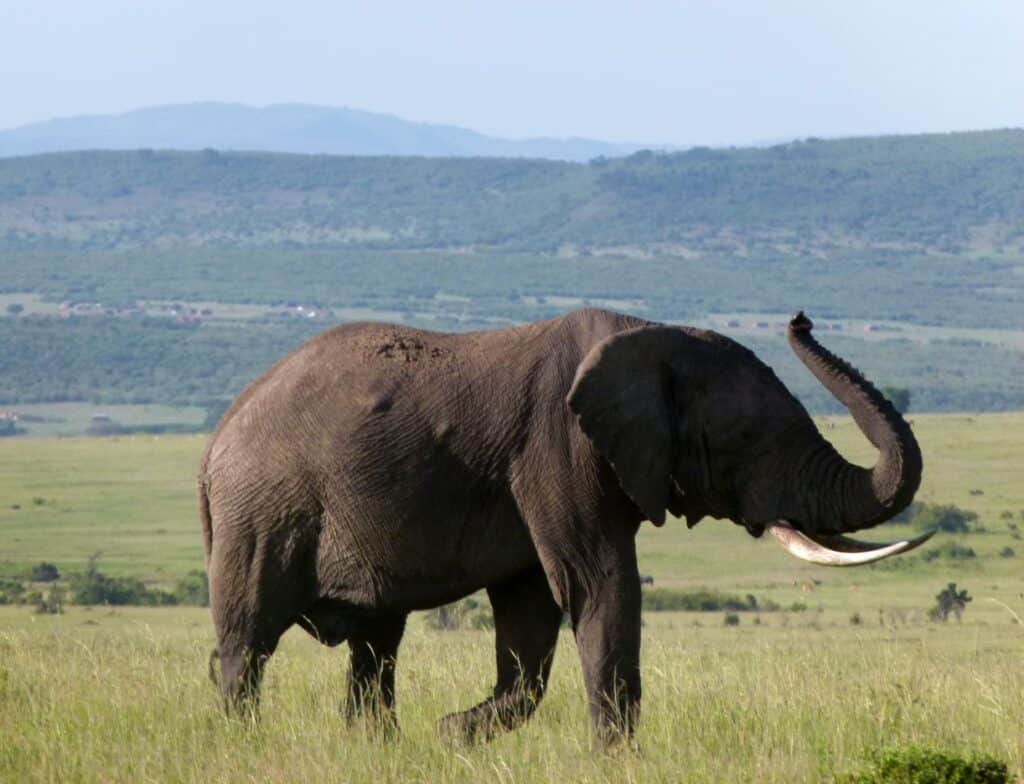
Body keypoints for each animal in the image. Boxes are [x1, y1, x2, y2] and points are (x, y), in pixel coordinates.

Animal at [199, 309, 929, 749]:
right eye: (748, 437)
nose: (800, 319)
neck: (647, 334)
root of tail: (215, 442)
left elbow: (530, 616)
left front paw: (450, 734)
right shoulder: (558, 449)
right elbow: (598, 585)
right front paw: (620, 761)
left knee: (376, 645)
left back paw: (377, 746)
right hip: (261, 510)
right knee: (248, 643)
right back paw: (242, 745)